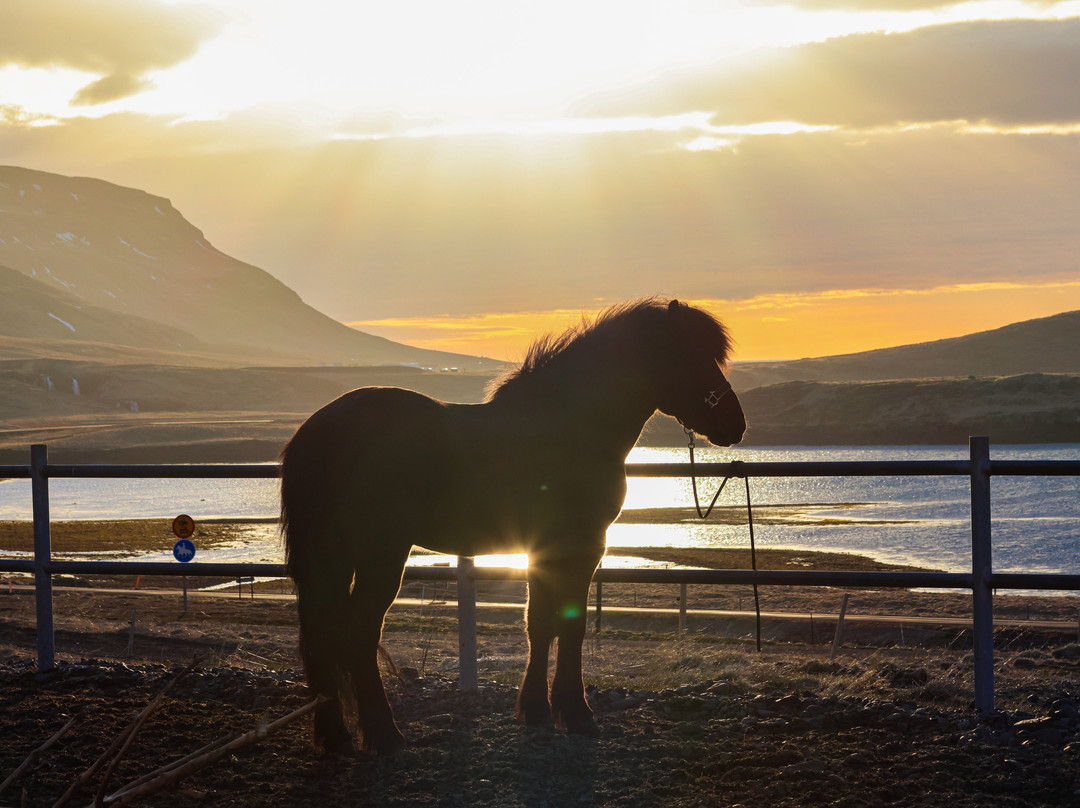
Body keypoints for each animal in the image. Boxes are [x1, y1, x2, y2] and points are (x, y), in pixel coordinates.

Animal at [280, 297, 746, 755]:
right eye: (692, 354)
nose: (736, 424)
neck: (568, 427)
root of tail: (321, 429)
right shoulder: (583, 544)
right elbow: (571, 625)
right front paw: (577, 714)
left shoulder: (544, 548)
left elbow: (538, 622)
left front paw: (536, 709)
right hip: (381, 552)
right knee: (358, 631)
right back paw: (383, 734)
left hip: (337, 554)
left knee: (326, 632)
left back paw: (337, 736)